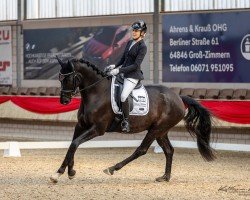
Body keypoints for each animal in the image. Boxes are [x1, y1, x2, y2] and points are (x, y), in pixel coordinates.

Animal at [49, 57, 215, 183]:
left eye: (69, 78)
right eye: (60, 78)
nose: (64, 101)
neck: (97, 92)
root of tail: (179, 97)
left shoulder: (97, 129)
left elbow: (75, 144)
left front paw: (61, 173)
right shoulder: (81, 125)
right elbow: (72, 144)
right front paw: (67, 171)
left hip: (156, 129)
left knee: (141, 150)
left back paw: (112, 168)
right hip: (161, 131)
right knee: (169, 150)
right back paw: (165, 177)